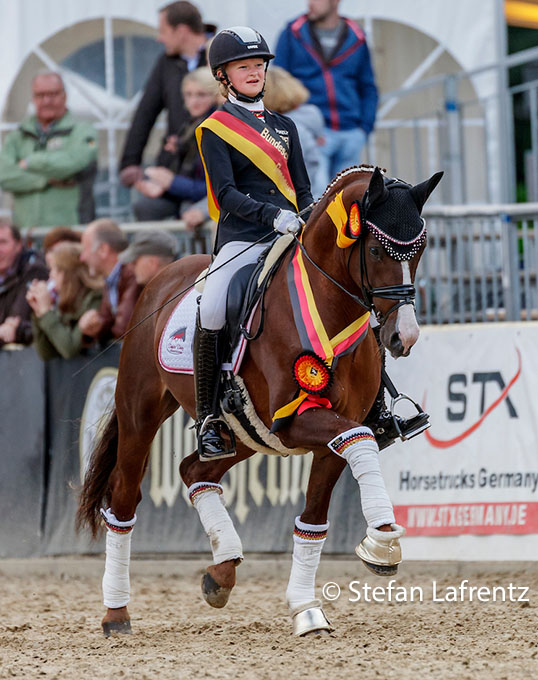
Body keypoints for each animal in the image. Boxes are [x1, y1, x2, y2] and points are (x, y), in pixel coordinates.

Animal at [76, 165, 442, 637]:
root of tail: (160, 278)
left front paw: (306, 608)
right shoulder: (294, 418)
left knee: (195, 470)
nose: (404, 337)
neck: (327, 307)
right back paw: (116, 614)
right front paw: (381, 542)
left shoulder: (337, 427)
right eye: (379, 249)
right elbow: (358, 445)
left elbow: (315, 517)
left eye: (420, 248)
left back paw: (221, 572)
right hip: (140, 412)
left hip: (245, 432)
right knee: (123, 498)